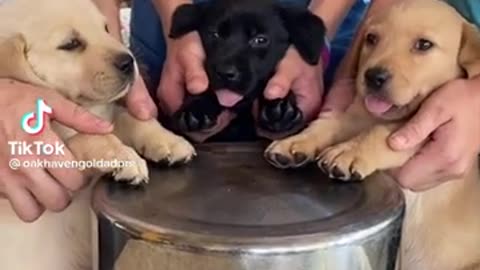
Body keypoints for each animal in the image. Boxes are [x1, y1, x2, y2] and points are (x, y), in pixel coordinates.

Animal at [0, 0, 195, 270]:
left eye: (105, 28)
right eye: (71, 44)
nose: (129, 62)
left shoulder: (103, 117)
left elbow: (128, 118)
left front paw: (167, 141)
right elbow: (88, 137)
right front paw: (123, 156)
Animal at [266, 0, 480, 270]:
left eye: (424, 45)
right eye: (371, 39)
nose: (373, 76)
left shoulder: (425, 127)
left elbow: (382, 134)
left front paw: (348, 153)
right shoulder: (353, 116)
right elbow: (327, 124)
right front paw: (295, 142)